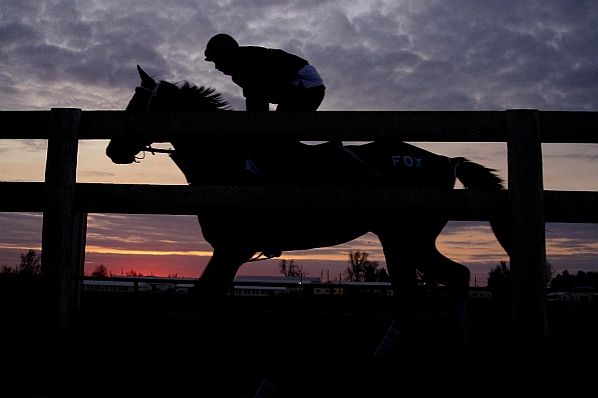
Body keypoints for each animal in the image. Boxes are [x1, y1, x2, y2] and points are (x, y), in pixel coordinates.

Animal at [106, 67, 510, 356]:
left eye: (136, 105)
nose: (112, 149)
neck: (226, 163)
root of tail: (447, 161)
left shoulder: (231, 248)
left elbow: (204, 297)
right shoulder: (230, 252)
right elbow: (209, 299)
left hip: (405, 237)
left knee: (422, 291)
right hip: (406, 240)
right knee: (449, 278)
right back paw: (454, 344)